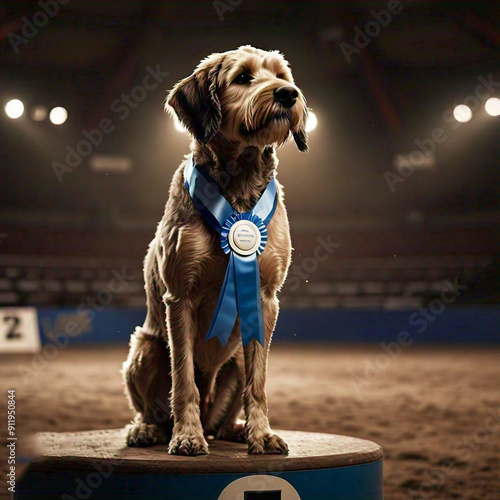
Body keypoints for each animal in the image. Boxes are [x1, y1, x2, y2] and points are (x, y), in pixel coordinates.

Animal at [122, 45, 308, 456]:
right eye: (242, 77)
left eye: (281, 75)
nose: (288, 94)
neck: (238, 184)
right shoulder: (180, 297)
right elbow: (183, 378)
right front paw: (186, 435)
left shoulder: (265, 297)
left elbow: (259, 382)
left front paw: (262, 434)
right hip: (144, 349)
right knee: (153, 405)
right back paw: (150, 429)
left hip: (233, 359)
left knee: (223, 417)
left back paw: (234, 429)